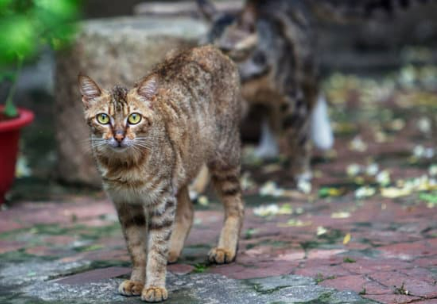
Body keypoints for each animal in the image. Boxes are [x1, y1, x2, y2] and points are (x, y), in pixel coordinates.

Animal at [77, 45, 244, 302]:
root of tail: (209, 47)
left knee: (236, 204)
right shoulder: (126, 205)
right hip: (181, 169)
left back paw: (225, 248)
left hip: (223, 155)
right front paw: (137, 281)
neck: (125, 167)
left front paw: (154, 286)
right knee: (187, 212)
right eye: (103, 118)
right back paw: (173, 250)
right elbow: (137, 248)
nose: (118, 136)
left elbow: (155, 248)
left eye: (134, 118)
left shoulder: (161, 201)